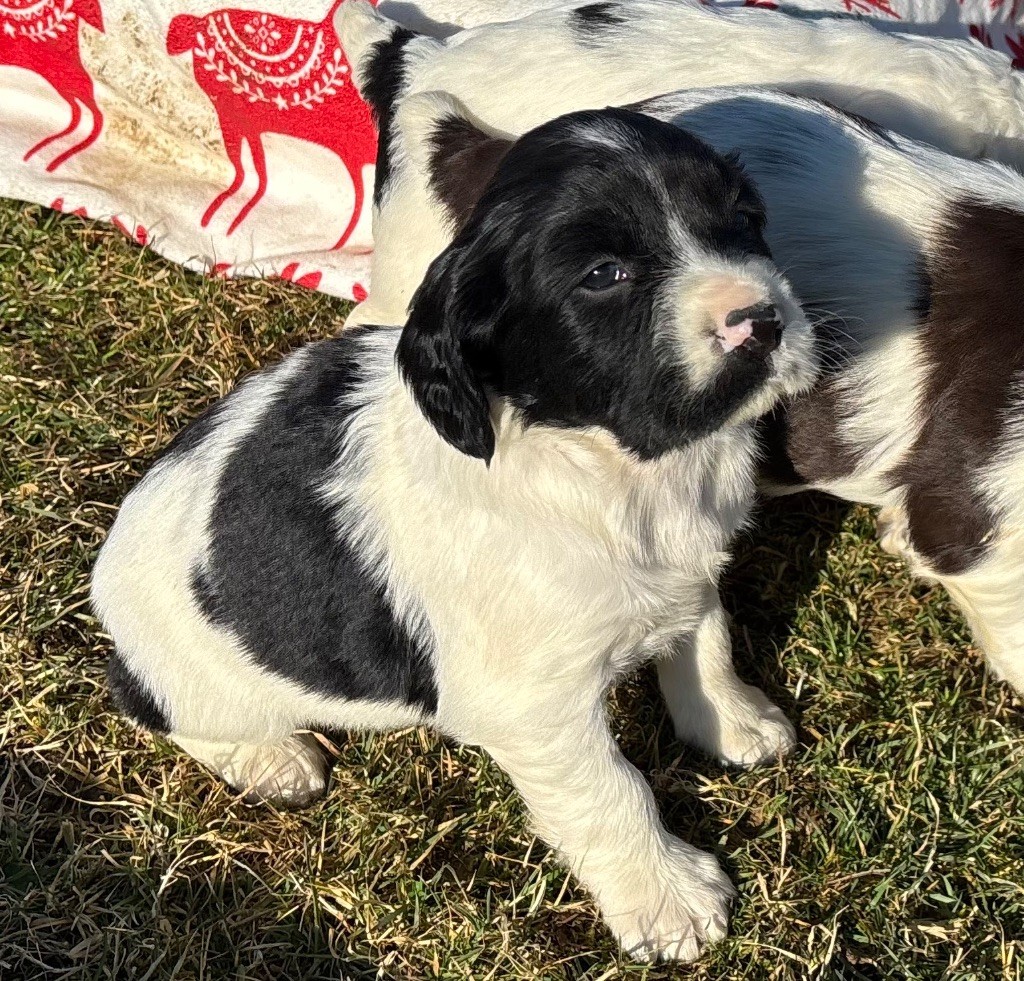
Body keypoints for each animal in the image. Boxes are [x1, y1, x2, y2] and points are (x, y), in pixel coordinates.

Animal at [92, 107, 819, 958]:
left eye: (744, 219)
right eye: (604, 274)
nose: (762, 322)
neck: (610, 462)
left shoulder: (687, 568)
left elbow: (704, 640)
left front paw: (734, 724)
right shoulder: (534, 707)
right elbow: (612, 791)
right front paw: (669, 901)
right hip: (193, 674)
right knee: (157, 707)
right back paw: (271, 758)